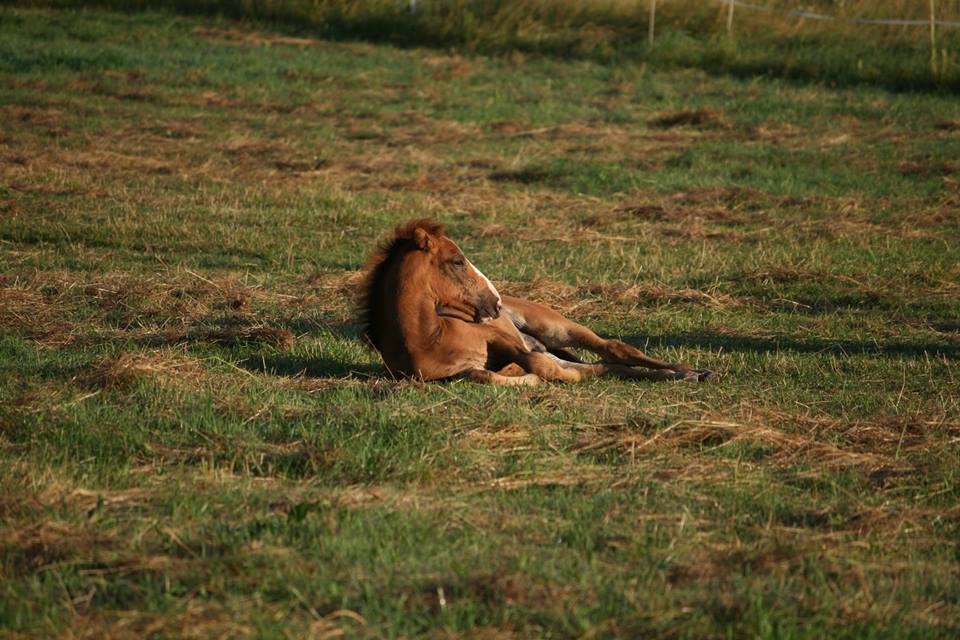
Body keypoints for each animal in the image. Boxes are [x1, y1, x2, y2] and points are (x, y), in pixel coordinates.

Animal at [358, 219, 712, 384]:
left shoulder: (502, 339)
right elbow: (483, 374)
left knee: (615, 349)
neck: (428, 339)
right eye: (457, 261)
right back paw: (688, 374)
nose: (496, 303)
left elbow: (542, 365)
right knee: (609, 363)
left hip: (553, 327)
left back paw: (689, 371)